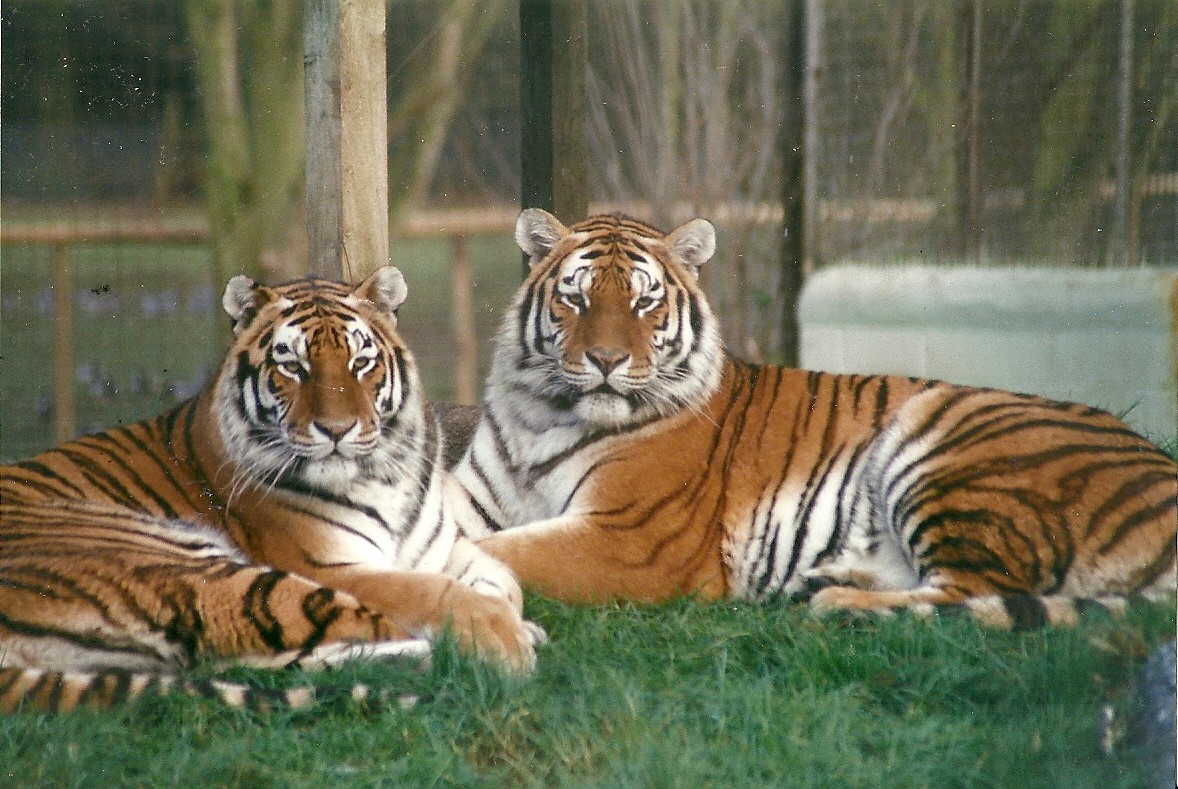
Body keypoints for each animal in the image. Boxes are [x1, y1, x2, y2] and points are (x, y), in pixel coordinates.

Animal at [1, 266, 540, 714]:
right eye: (293, 367)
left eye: (361, 363)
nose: (336, 430)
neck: (384, 476)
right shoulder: (330, 565)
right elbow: (437, 593)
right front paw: (506, 638)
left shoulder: (440, 548)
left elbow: (502, 580)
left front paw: (514, 619)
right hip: (190, 566)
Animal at [451, 209, 1177, 630]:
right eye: (574, 299)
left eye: (644, 303)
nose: (606, 359)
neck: (542, 415)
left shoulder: (629, 538)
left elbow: (501, 550)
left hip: (944, 435)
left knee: (974, 593)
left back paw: (839, 602)